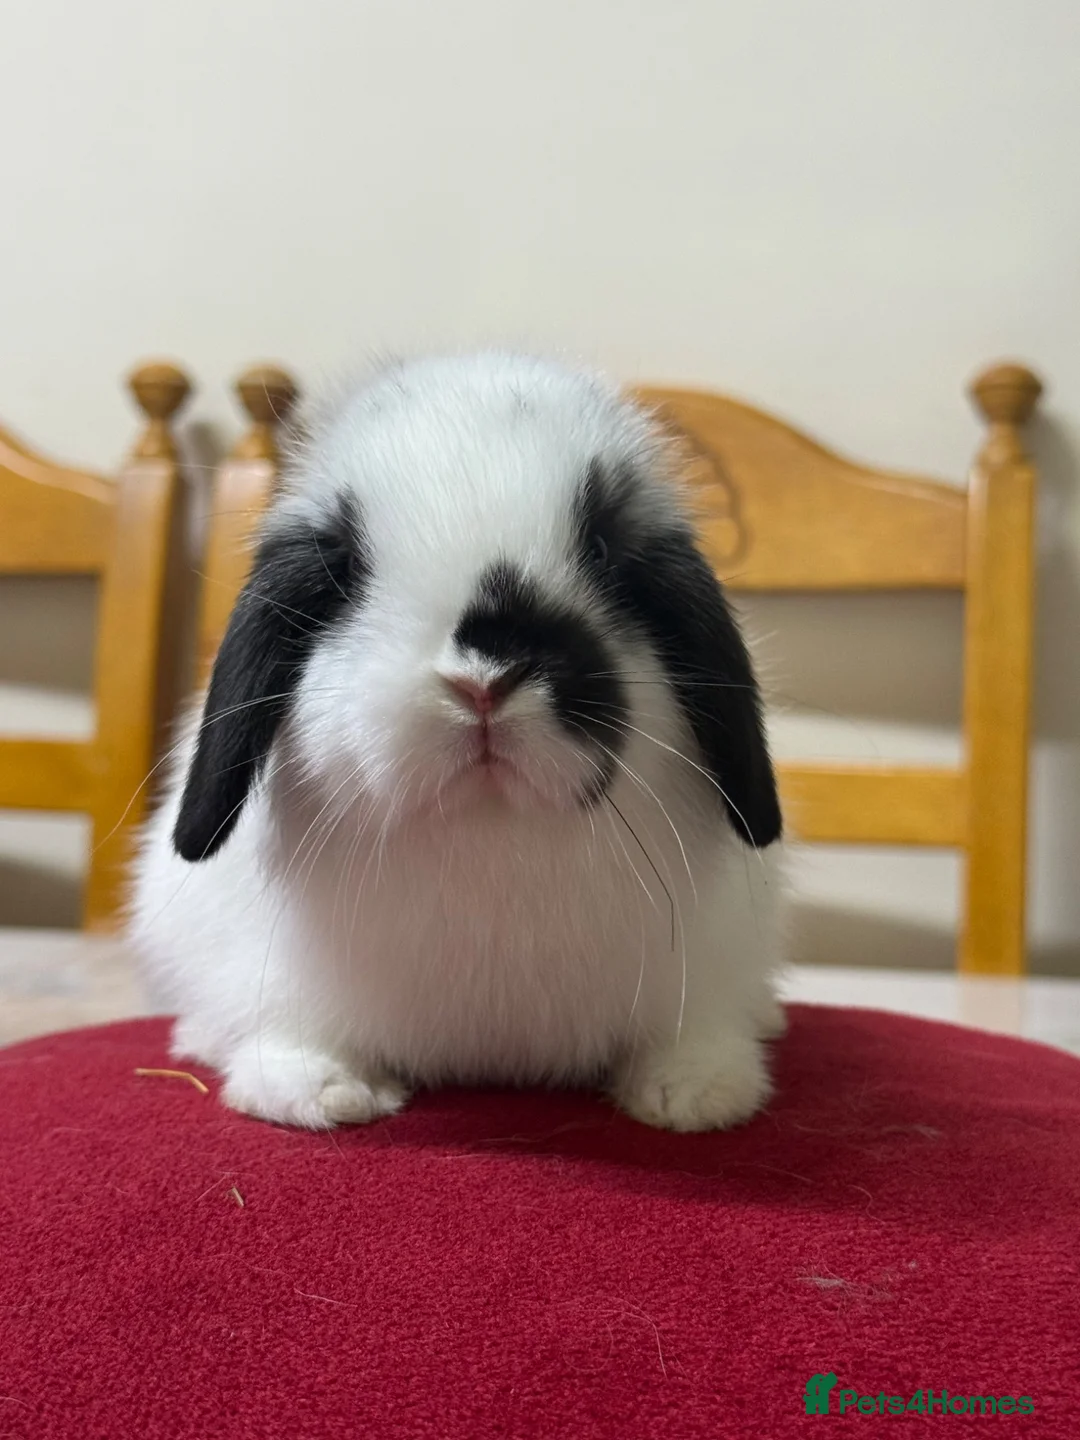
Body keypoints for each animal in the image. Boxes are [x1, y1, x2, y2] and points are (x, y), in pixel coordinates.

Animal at [129, 352, 786, 1133]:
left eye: (603, 554)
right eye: (347, 572)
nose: (484, 678)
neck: (487, 824)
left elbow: (693, 1031)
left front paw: (695, 1093)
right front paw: (321, 1092)